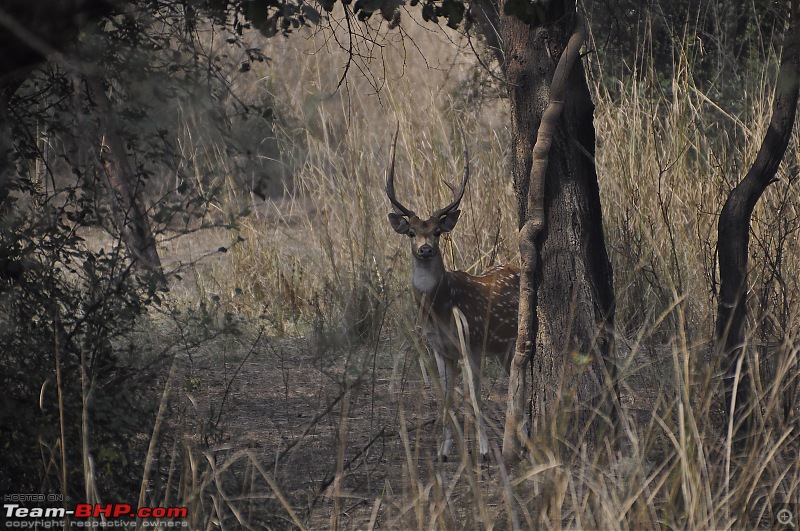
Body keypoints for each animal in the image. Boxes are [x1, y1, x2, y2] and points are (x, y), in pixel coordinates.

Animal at [386, 130, 520, 462]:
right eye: (411, 232)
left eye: (437, 231)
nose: (425, 249)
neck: (439, 309)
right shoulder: (439, 348)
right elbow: (446, 398)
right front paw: (444, 451)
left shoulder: (469, 340)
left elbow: (474, 396)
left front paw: (483, 451)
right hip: (502, 349)